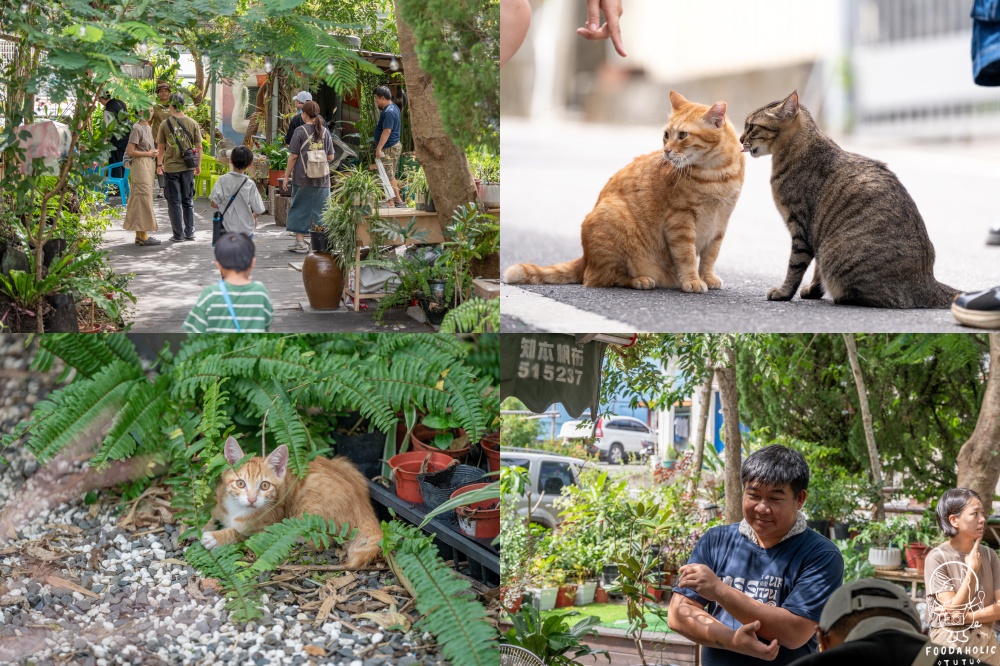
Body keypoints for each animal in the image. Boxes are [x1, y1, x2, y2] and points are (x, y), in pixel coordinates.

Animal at [199, 436, 382, 564]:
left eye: (264, 486)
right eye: (240, 483)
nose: (251, 499)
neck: (236, 509)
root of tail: (363, 506)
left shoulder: (266, 526)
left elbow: (241, 534)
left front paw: (215, 537)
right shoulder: (221, 501)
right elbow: (213, 514)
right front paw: (205, 525)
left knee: (318, 542)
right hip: (344, 463)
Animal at [740, 92, 956, 308]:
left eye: (751, 126)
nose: (741, 139)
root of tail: (928, 282)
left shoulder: (801, 228)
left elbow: (795, 266)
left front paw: (783, 292)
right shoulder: (817, 233)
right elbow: (816, 270)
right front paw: (813, 290)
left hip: (836, 254)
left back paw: (841, 296)